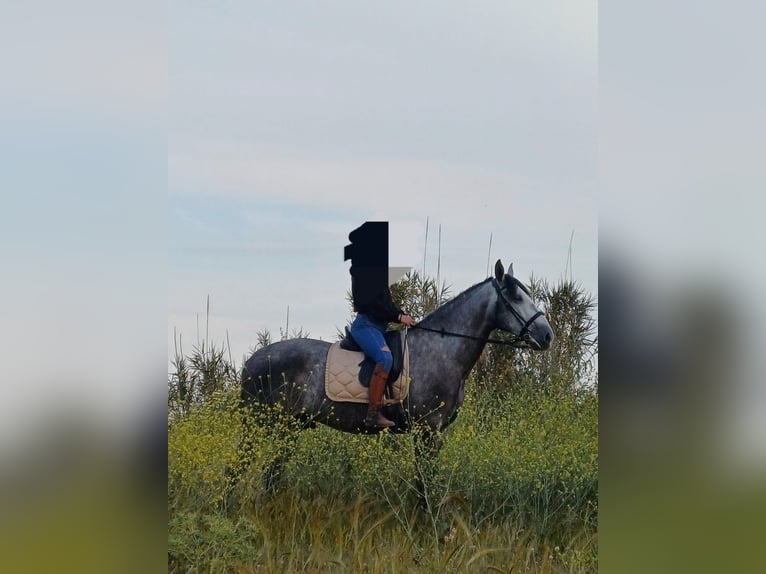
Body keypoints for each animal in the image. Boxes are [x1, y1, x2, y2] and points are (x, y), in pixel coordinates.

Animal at [229, 259, 554, 504]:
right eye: (516, 297)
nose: (547, 335)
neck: (443, 348)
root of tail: (252, 360)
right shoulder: (427, 430)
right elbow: (424, 483)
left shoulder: (432, 432)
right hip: (263, 423)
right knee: (239, 467)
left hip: (290, 426)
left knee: (269, 473)